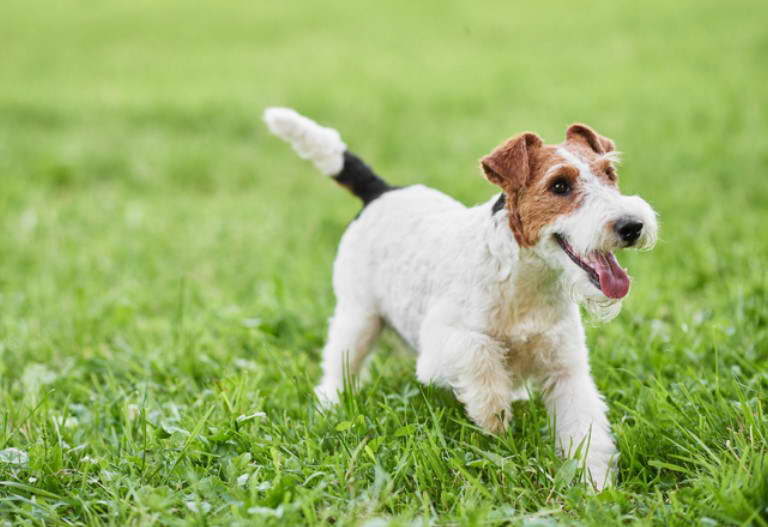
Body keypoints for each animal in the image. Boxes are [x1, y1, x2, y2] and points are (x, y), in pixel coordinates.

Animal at [262, 107, 656, 490]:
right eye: (559, 185)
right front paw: (493, 416)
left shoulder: (566, 369)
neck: (526, 277)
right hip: (358, 316)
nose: (631, 226)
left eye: (609, 173)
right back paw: (330, 404)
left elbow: (586, 431)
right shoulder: (441, 345)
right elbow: (479, 354)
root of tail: (382, 191)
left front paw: (596, 486)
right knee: (339, 365)